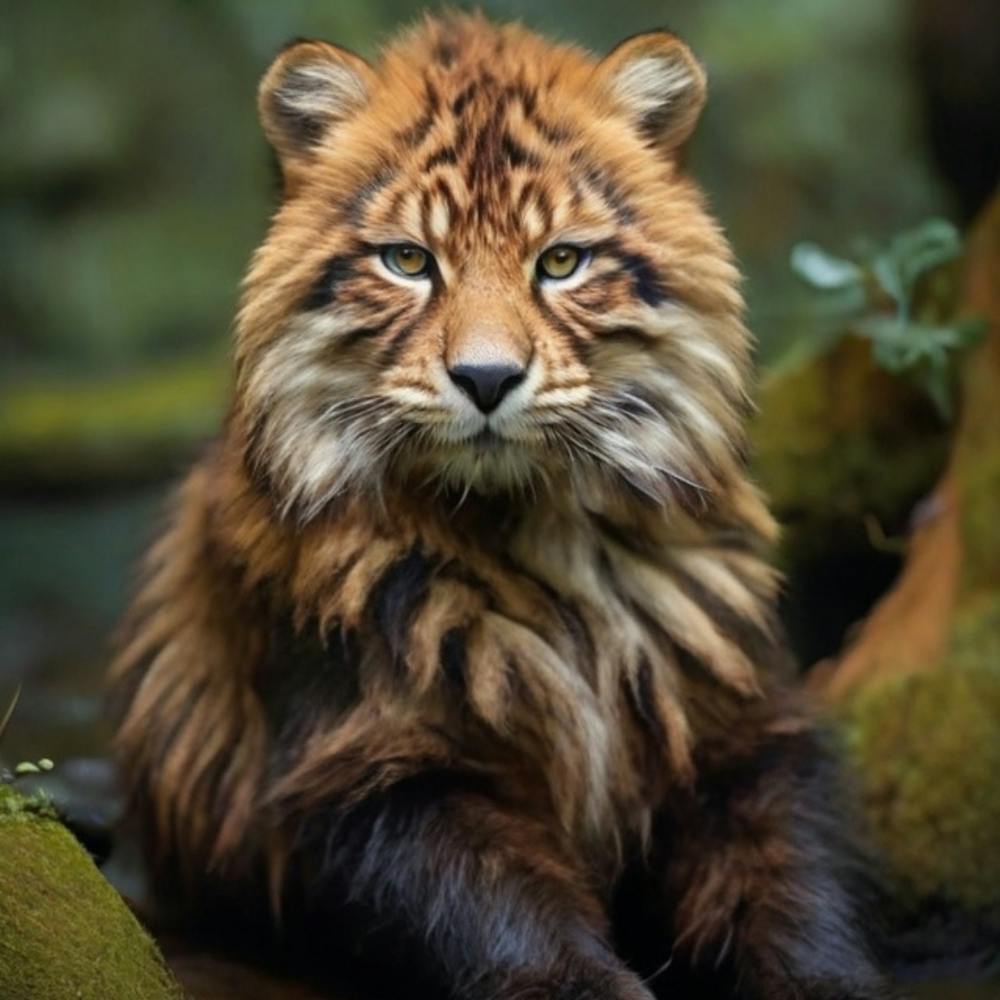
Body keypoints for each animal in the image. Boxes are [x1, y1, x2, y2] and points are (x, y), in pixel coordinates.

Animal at [110, 13, 893, 1000]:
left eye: (560, 262)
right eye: (409, 261)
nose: (486, 378)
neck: (538, 542)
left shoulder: (740, 735)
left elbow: (787, 888)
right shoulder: (376, 768)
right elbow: (503, 914)